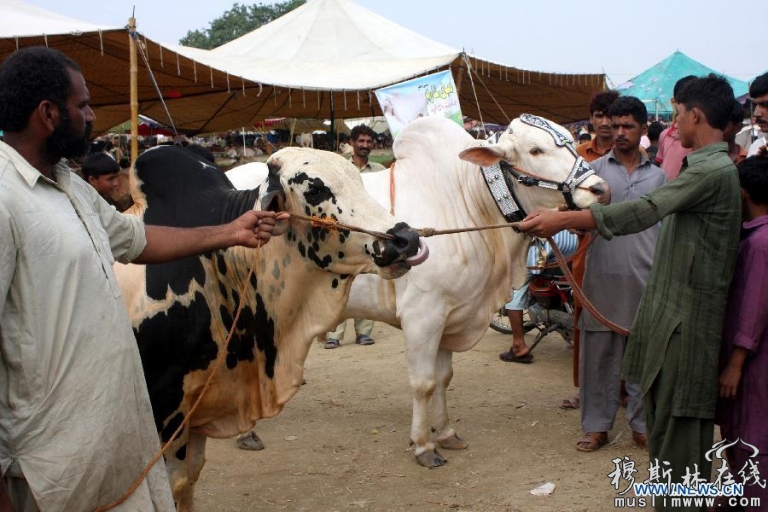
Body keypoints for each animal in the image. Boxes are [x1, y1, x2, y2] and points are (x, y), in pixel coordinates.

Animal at [114, 146, 426, 510]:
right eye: (315, 190)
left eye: (357, 180)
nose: (406, 238)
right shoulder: (165, 412)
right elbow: (172, 486)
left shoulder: (198, 411)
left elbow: (188, 480)